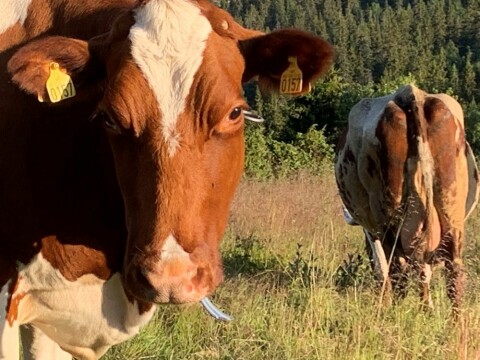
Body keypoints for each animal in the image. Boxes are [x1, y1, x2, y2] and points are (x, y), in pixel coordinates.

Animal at [336, 84, 478, 312]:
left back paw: (397, 311)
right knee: (452, 272)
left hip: (388, 217)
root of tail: (411, 94)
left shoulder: (371, 230)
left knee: (398, 270)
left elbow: (381, 268)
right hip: (451, 210)